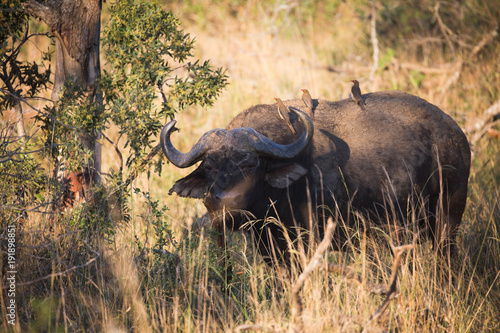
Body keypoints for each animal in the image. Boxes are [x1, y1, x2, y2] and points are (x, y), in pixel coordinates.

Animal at [160, 90, 468, 262]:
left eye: (250, 164)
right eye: (209, 167)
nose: (224, 205)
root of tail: (455, 135)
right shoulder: (270, 245)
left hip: (447, 218)